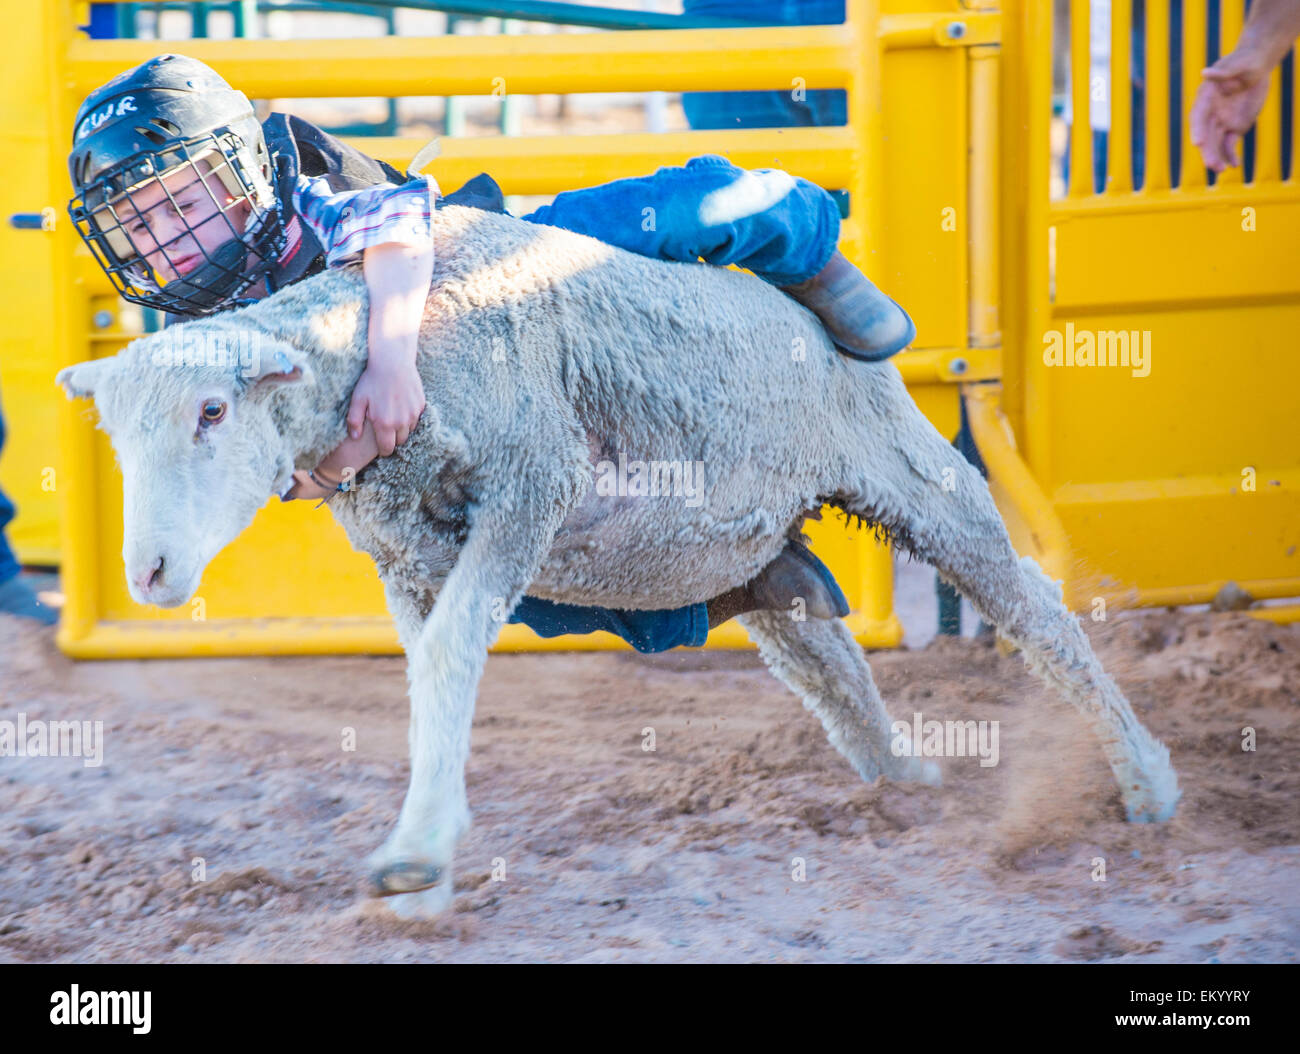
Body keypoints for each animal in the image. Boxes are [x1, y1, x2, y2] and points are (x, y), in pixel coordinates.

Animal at [58, 202, 1181, 917]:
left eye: (212, 411)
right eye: (113, 433)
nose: (149, 573)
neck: (383, 341)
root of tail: (800, 318)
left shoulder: (529, 487)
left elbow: (451, 657)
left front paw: (416, 855)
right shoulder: (409, 557)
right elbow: (431, 675)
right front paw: (429, 856)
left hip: (915, 475)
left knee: (1036, 612)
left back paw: (1146, 779)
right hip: (753, 556)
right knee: (826, 663)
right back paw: (901, 782)